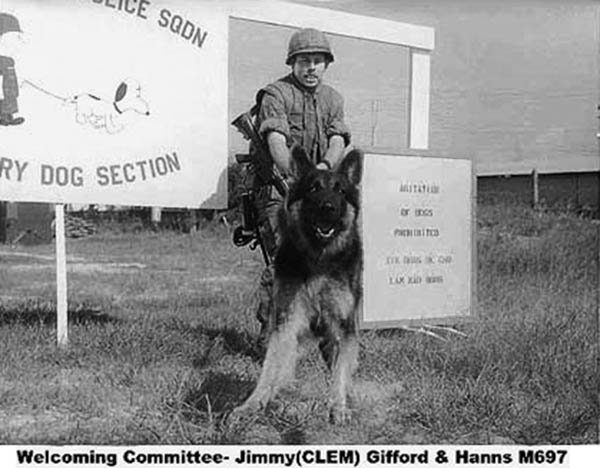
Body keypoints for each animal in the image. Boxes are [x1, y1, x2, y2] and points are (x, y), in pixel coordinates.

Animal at [237, 146, 364, 424]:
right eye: (313, 188)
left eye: (340, 191)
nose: (328, 207)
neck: (319, 260)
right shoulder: (287, 320)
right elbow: (271, 366)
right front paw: (253, 402)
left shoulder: (343, 327)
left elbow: (340, 370)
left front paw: (338, 406)